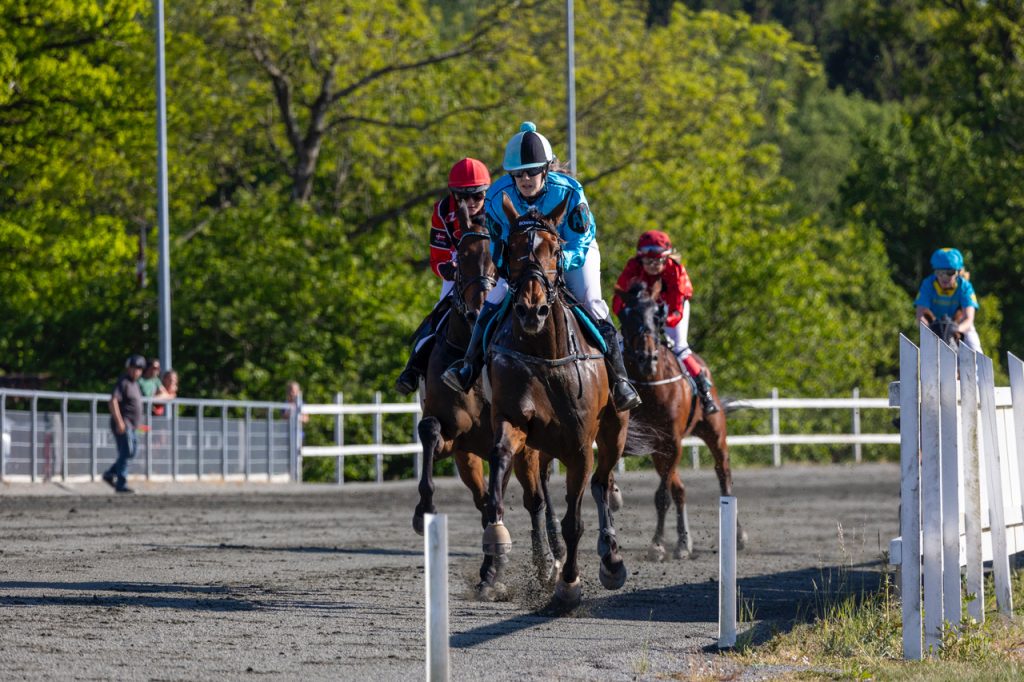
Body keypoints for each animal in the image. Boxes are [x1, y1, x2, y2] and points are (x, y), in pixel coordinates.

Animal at [411, 200, 565, 577]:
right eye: (462, 258)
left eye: (497, 259)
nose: (480, 307)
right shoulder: (456, 438)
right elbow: (430, 429)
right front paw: (424, 512)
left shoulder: (518, 438)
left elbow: (531, 499)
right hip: (471, 457)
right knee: (487, 499)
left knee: (538, 496)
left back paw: (550, 554)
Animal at [477, 193, 626, 606]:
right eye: (510, 248)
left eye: (555, 249)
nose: (532, 309)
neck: (545, 354)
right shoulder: (512, 422)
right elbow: (498, 468)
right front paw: (496, 543)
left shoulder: (579, 446)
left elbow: (574, 520)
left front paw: (569, 585)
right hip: (539, 447)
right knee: (539, 496)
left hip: (614, 432)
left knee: (602, 483)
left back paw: (610, 559)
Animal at [610, 280, 749, 557]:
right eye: (626, 315)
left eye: (657, 315)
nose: (646, 357)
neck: (651, 386)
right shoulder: (640, 439)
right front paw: (615, 496)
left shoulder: (672, 442)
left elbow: (662, 496)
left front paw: (657, 544)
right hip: (658, 451)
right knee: (680, 490)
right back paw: (684, 543)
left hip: (714, 435)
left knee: (724, 479)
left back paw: (737, 537)